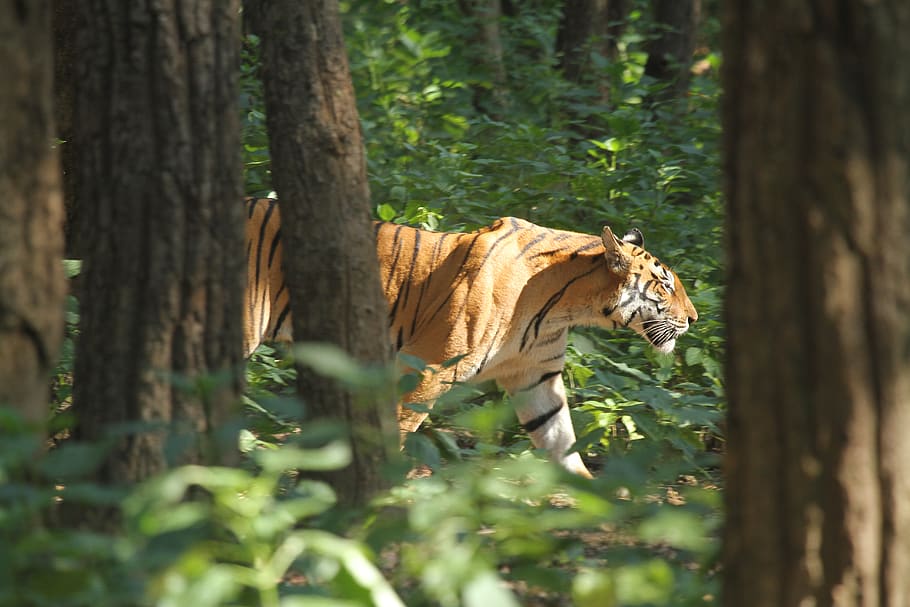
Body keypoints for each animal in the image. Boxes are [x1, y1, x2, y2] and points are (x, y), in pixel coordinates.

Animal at [244, 198, 697, 478]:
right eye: (664, 285)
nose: (693, 319)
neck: (566, 305)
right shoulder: (425, 367)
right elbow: (400, 426)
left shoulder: (536, 376)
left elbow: (559, 437)